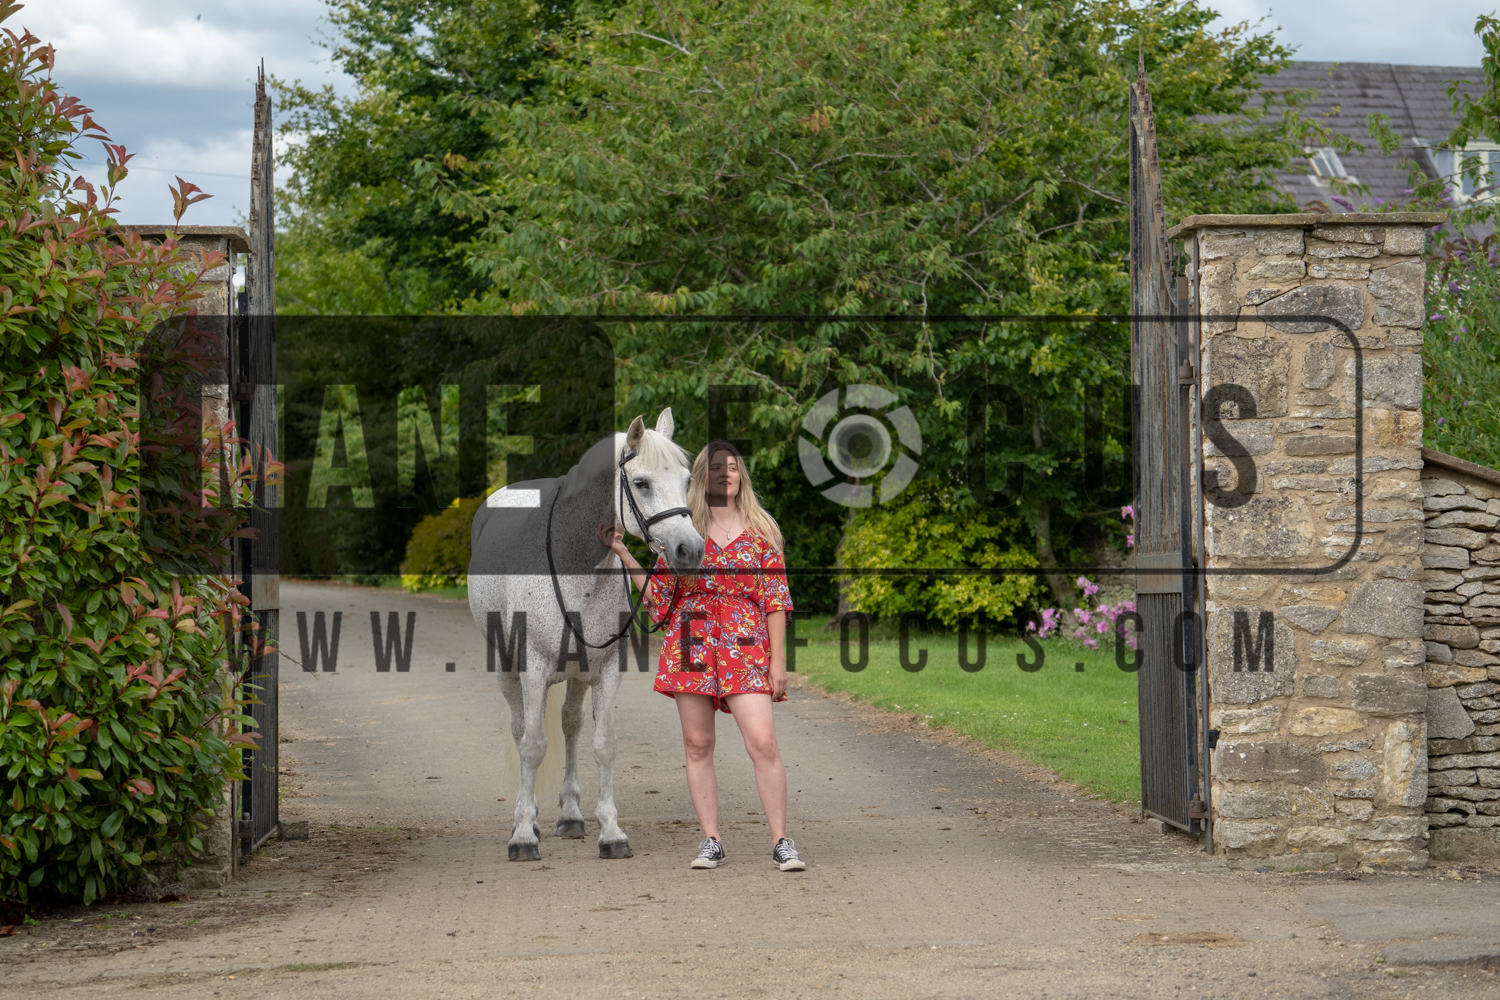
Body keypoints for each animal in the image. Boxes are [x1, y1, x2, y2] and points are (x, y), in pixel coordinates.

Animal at [468, 409, 703, 861]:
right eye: (641, 483)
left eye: (686, 479)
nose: (691, 550)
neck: (573, 561)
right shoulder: (533, 671)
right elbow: (532, 746)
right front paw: (523, 836)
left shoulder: (607, 670)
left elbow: (603, 744)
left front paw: (610, 832)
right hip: (508, 667)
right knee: (521, 729)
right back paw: (528, 819)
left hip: (577, 674)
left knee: (571, 725)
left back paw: (571, 815)